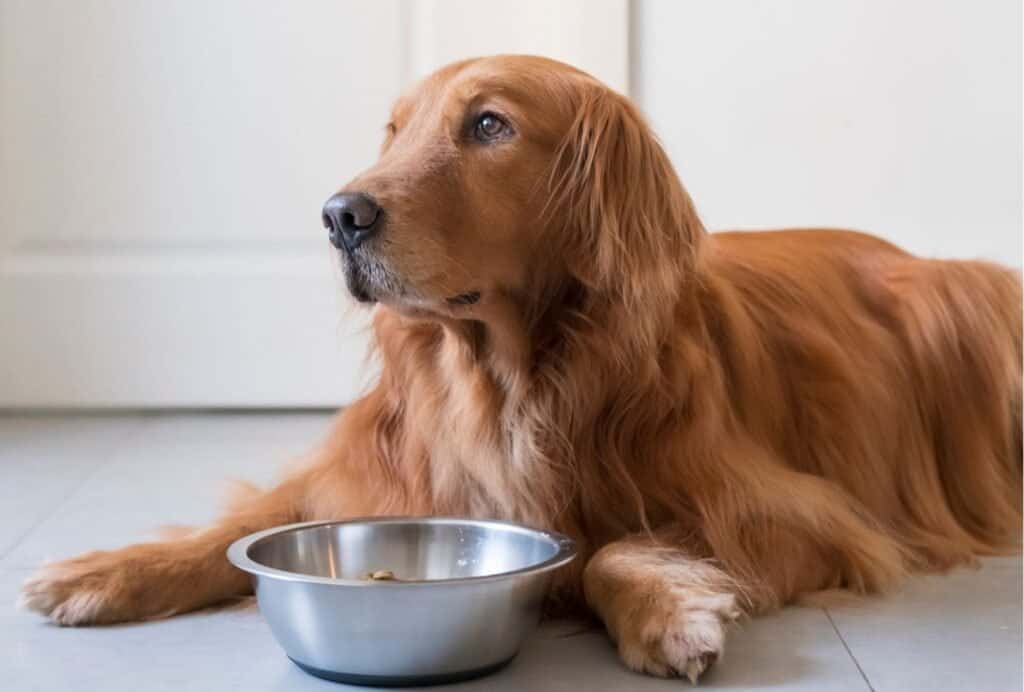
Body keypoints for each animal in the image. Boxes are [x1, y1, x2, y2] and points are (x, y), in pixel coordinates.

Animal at [19, 55, 1019, 679]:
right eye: (393, 131)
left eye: (490, 124)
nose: (339, 215)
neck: (505, 379)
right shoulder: (375, 469)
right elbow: (240, 526)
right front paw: (104, 571)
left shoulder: (806, 517)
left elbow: (613, 546)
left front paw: (666, 611)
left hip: (969, 299)